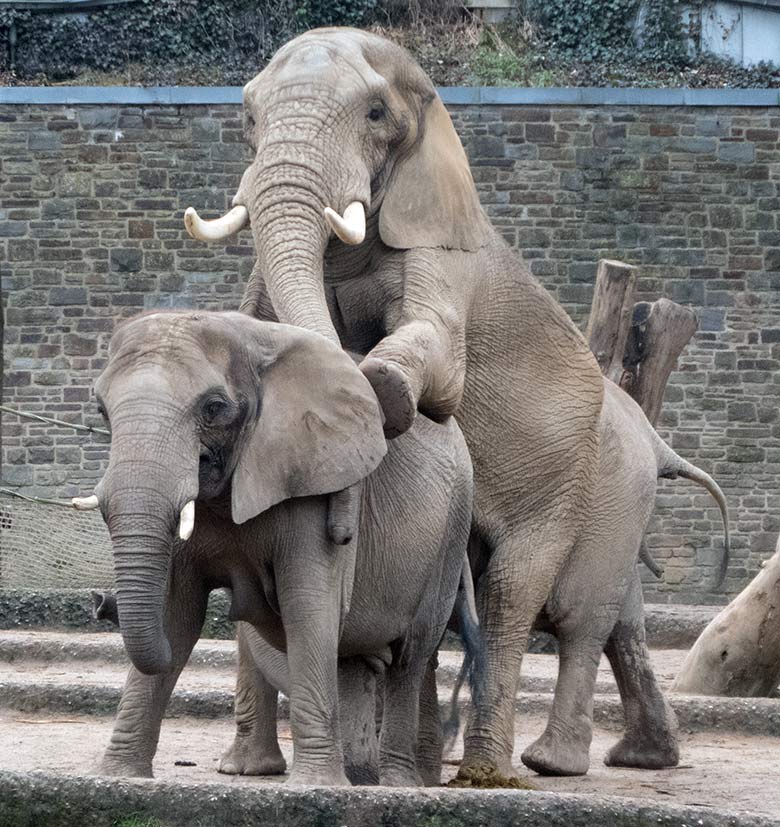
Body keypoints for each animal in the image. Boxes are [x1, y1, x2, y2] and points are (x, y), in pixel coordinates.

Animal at [82, 308, 478, 784]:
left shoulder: (312, 481)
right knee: (350, 659)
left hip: (452, 529)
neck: (252, 341)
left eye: (214, 408)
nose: (98, 602)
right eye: (101, 410)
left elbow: (306, 603)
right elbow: (177, 612)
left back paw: (396, 783)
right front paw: (118, 777)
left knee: (411, 657)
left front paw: (315, 787)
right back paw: (350, 775)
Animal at [183, 27, 732, 776]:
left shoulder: (441, 251)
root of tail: (650, 435)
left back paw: (516, 769)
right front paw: (246, 772)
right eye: (247, 119)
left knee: (529, 600)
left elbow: (442, 352)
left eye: (376, 115)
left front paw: (385, 388)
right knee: (597, 614)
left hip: (585, 487)